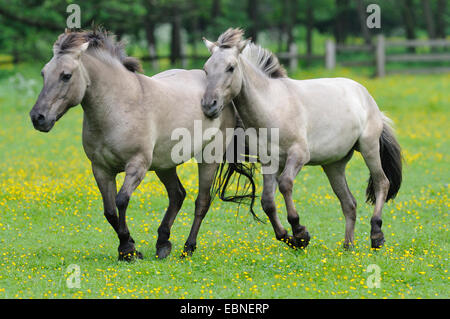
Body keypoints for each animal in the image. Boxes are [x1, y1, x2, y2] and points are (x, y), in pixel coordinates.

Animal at [28, 28, 251, 262]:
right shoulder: (101, 169)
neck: (120, 105)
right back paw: (163, 244)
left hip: (209, 157)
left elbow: (121, 200)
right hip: (165, 164)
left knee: (202, 201)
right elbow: (109, 211)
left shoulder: (137, 165)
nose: (38, 117)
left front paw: (128, 249)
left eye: (66, 75)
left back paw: (188, 248)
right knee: (177, 195)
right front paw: (129, 247)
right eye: (44, 73)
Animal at [200, 28, 400, 250]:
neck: (272, 107)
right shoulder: (269, 162)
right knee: (349, 202)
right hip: (334, 165)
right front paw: (288, 237)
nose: (209, 105)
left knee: (382, 183)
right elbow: (267, 202)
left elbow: (286, 184)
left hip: (369, 148)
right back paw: (348, 246)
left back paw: (376, 234)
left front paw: (299, 231)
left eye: (231, 68)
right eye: (206, 69)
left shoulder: (298, 155)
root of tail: (366, 97)